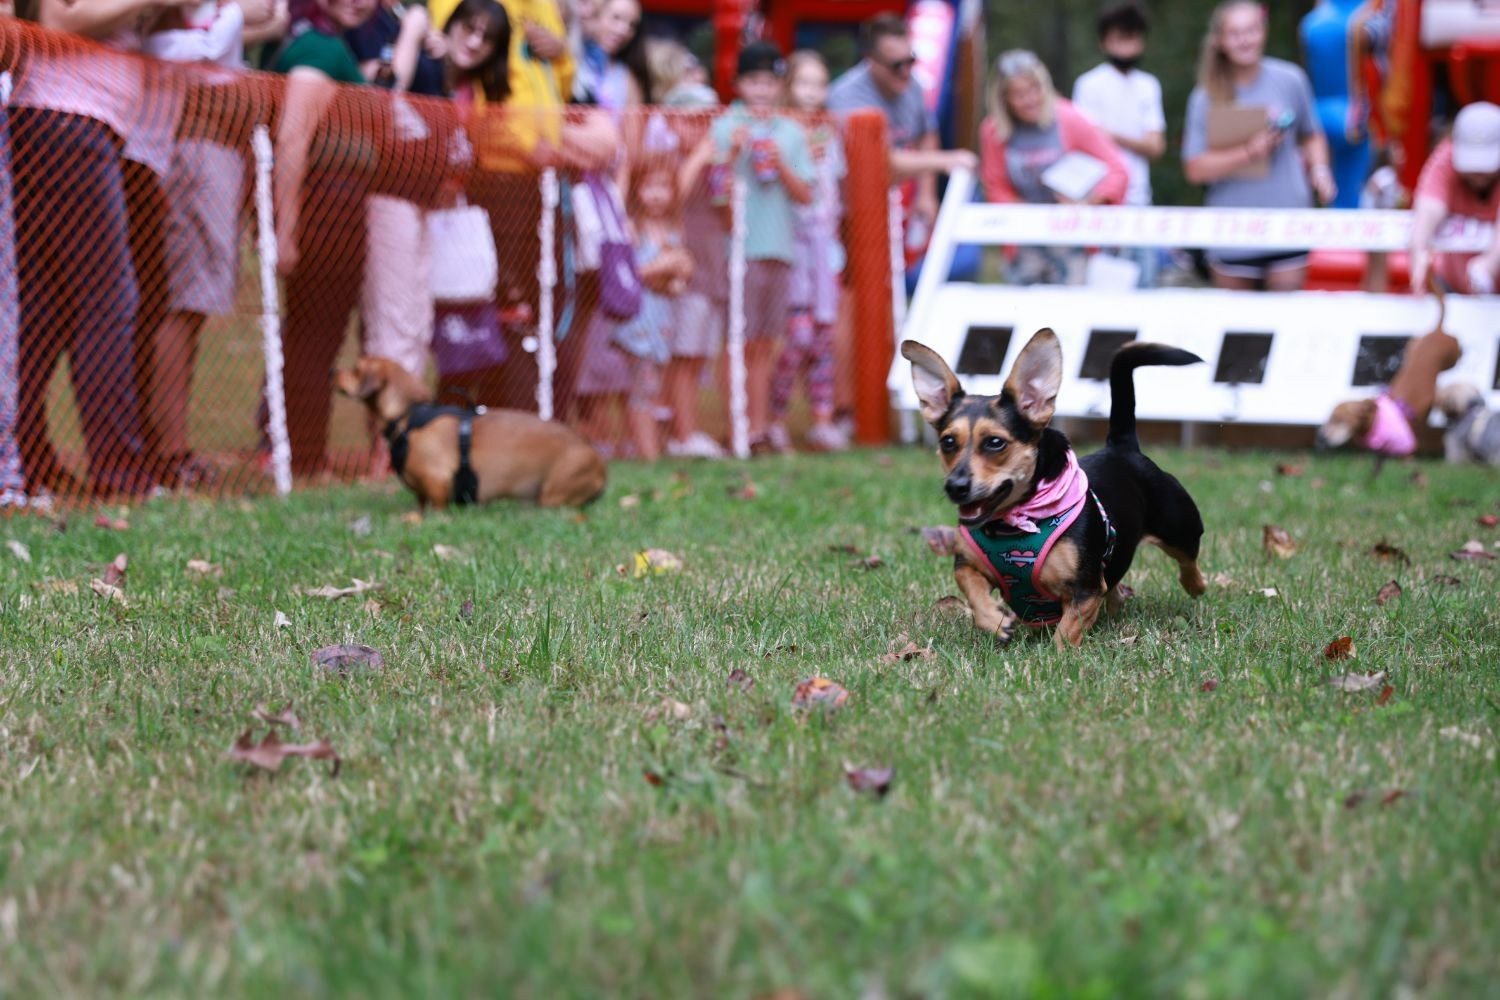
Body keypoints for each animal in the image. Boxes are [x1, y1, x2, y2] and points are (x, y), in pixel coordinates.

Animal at [334, 358, 603, 509]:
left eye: (356, 368)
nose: (331, 371)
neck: (408, 414)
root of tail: (598, 461)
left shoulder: (438, 481)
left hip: (553, 492)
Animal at [900, 329, 1206, 650]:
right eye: (948, 442)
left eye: (995, 442)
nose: (955, 487)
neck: (1015, 525)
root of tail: (1121, 447)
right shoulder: (967, 564)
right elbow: (969, 586)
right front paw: (995, 620)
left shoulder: (1085, 590)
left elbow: (1067, 632)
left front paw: (1059, 656)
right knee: (1115, 585)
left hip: (1180, 527)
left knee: (1188, 558)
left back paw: (1195, 585)